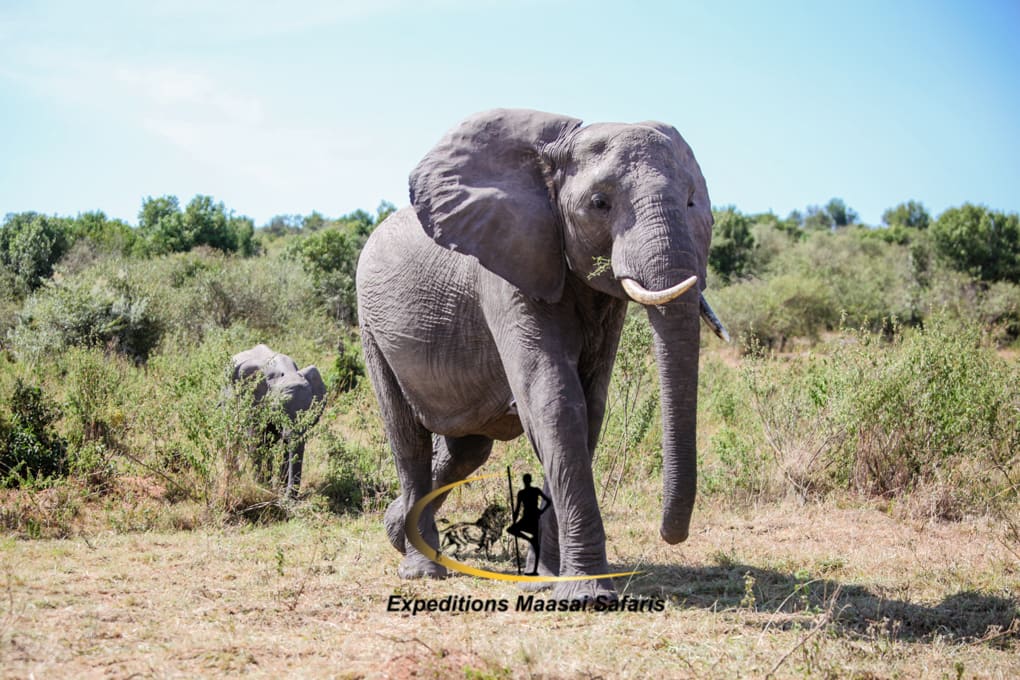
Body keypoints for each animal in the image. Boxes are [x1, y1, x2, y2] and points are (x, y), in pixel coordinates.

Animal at [228, 344, 326, 497]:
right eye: (278, 410)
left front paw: (276, 490)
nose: (288, 497)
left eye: (310, 412)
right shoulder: (253, 401)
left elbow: (284, 446)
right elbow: (255, 442)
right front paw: (261, 488)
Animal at [356, 108, 728, 601]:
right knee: (407, 438)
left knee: (465, 451)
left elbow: (589, 407)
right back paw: (422, 570)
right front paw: (587, 595)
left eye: (691, 201)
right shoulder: (506, 271)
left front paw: (553, 576)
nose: (670, 535)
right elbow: (554, 400)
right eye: (599, 203)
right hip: (372, 326)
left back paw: (398, 531)